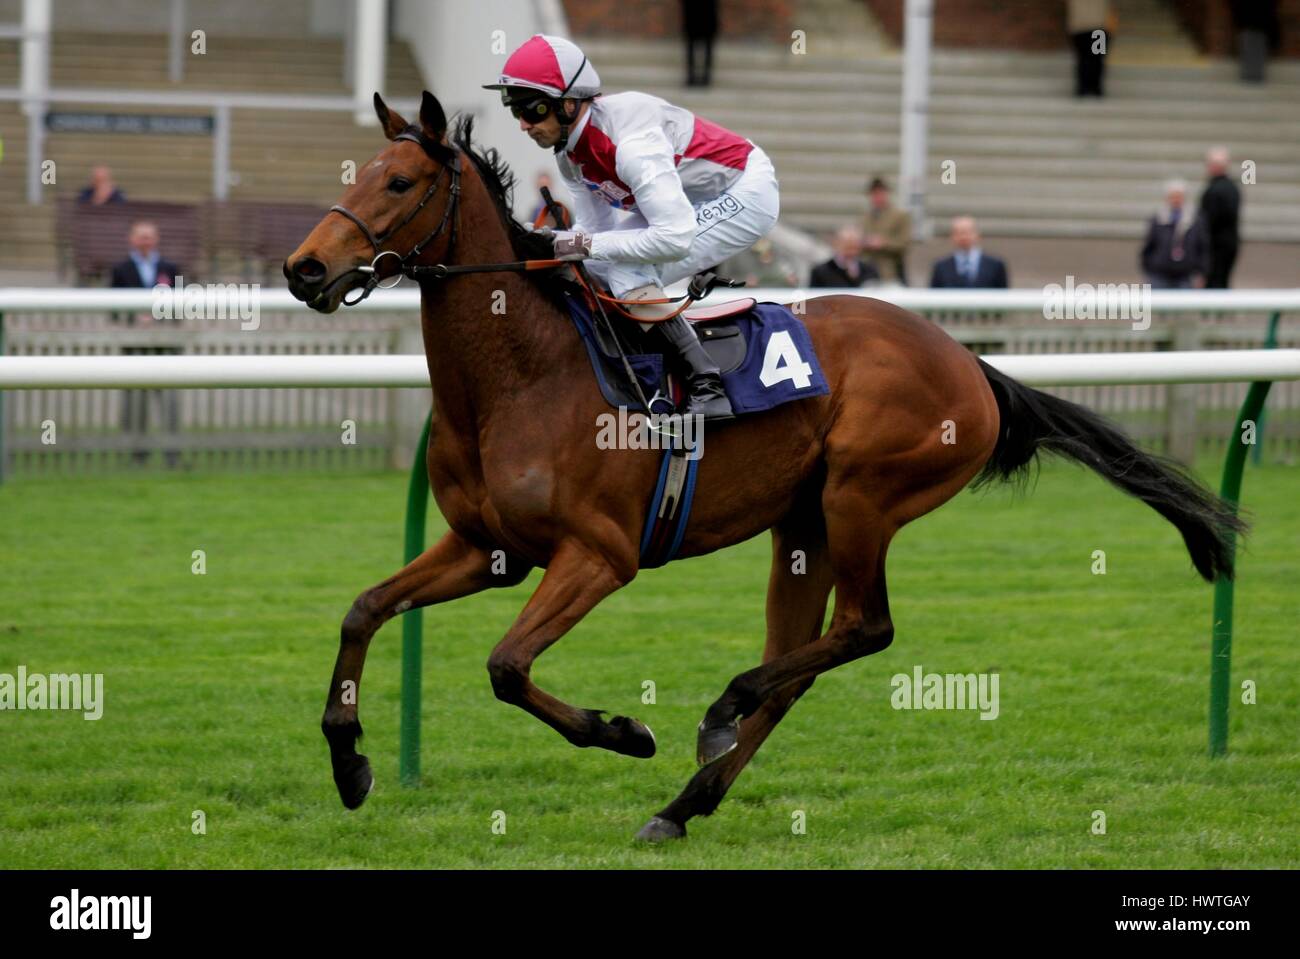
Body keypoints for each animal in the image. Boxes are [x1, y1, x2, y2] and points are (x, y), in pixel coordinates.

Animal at [287, 89, 1248, 836]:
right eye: (352, 177)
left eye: (400, 183)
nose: (303, 269)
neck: (522, 374)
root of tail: (970, 362)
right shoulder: (488, 549)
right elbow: (363, 609)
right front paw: (349, 763)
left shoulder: (599, 555)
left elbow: (507, 665)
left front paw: (625, 730)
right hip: (804, 523)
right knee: (803, 662)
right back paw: (685, 800)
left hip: (864, 497)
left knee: (864, 628)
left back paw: (721, 708)